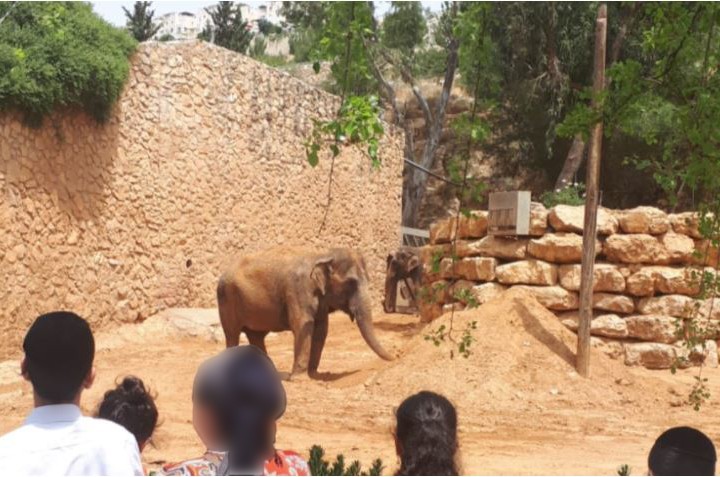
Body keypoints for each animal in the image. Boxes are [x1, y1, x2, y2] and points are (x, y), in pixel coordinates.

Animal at [217, 247, 394, 378]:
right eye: (351, 283)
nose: (396, 356)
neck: (323, 254)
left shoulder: (321, 300)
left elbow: (321, 329)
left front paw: (313, 374)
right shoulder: (297, 290)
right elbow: (303, 325)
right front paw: (299, 378)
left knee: (256, 336)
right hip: (227, 300)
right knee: (232, 334)